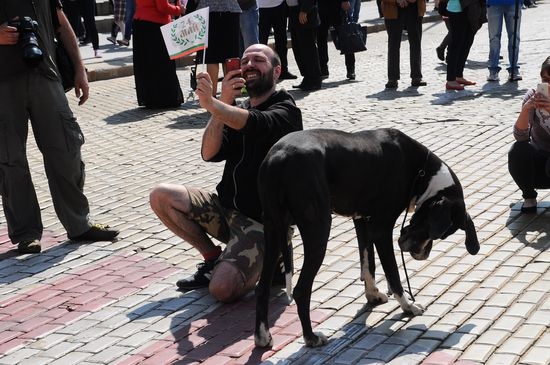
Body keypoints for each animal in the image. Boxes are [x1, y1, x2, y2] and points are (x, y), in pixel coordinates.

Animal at [256, 128, 480, 346]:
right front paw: (408, 306)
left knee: (263, 285)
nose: (420, 254)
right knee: (301, 289)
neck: (421, 172)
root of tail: (279, 157)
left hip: (273, 230)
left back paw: (262, 336)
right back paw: (311, 337)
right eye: (436, 231)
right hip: (318, 230)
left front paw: (372, 295)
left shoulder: (362, 221)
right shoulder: (381, 229)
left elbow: (368, 263)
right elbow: (393, 274)